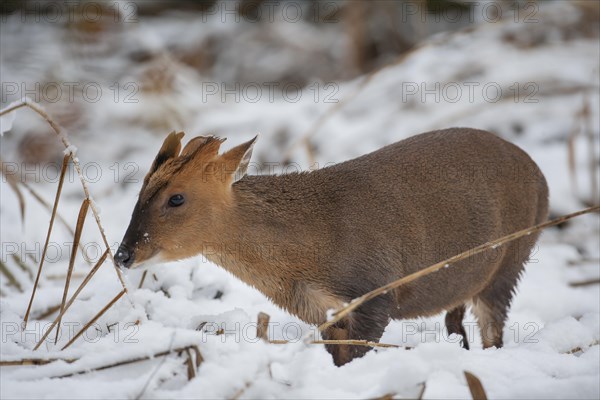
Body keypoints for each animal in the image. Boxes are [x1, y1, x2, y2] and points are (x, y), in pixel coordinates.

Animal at [116, 128, 548, 366]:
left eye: (176, 198)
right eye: (140, 192)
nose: (122, 255)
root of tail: (538, 172)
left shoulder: (376, 291)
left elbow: (357, 355)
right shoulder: (321, 311)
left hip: (513, 257)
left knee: (493, 329)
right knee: (456, 324)